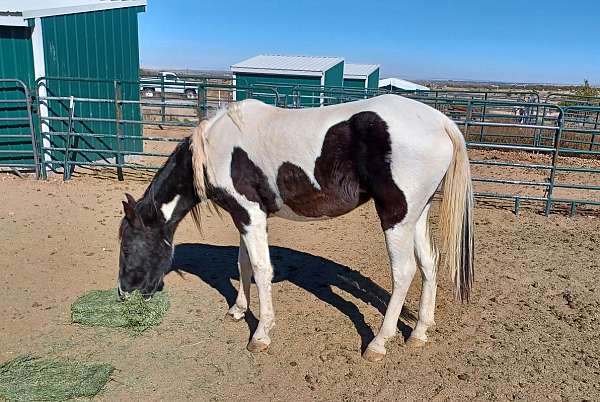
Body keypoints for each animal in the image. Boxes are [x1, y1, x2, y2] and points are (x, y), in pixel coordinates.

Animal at [117, 94, 474, 362]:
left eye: (126, 246)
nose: (124, 292)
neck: (217, 148)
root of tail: (441, 122)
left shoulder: (250, 214)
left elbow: (261, 269)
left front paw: (261, 334)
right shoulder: (244, 217)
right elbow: (243, 263)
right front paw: (238, 310)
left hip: (395, 216)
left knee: (404, 272)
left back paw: (378, 343)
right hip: (417, 214)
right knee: (429, 263)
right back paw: (419, 333)